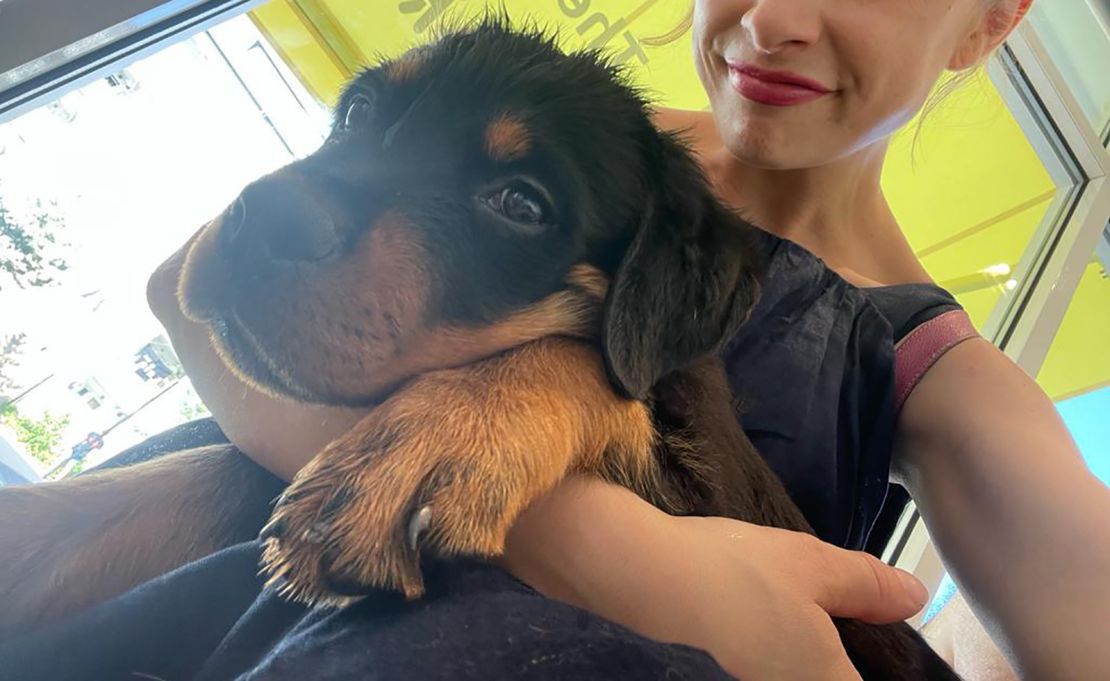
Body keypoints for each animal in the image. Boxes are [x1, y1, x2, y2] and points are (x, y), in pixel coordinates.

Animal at [0, 21, 954, 681]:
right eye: (360, 113)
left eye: (521, 204)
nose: (261, 216)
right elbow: (174, 483)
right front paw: (32, 531)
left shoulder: (709, 487)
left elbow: (580, 362)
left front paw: (433, 440)